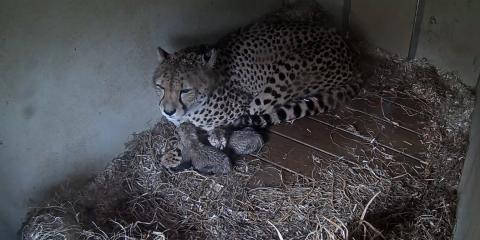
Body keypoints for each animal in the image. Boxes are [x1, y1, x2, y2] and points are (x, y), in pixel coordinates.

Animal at [155, 14, 364, 170]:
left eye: (185, 90)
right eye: (160, 87)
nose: (168, 111)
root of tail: (349, 51)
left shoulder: (241, 106)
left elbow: (207, 129)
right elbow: (183, 131)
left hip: (281, 80)